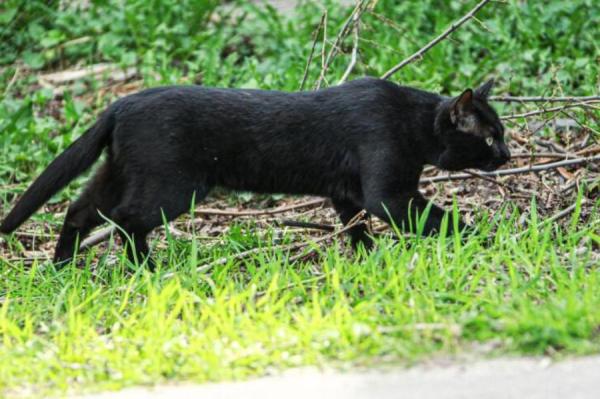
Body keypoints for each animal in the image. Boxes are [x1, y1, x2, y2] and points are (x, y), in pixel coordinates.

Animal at [1, 77, 510, 268]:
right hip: (171, 187)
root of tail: (120, 104)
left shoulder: (347, 193)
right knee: (125, 222)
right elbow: (441, 219)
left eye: (501, 134)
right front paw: (484, 240)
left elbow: (356, 229)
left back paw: (62, 266)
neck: (412, 123)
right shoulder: (388, 193)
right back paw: (147, 270)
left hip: (119, 173)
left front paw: (368, 262)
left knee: (78, 208)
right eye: (487, 138)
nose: (505, 154)